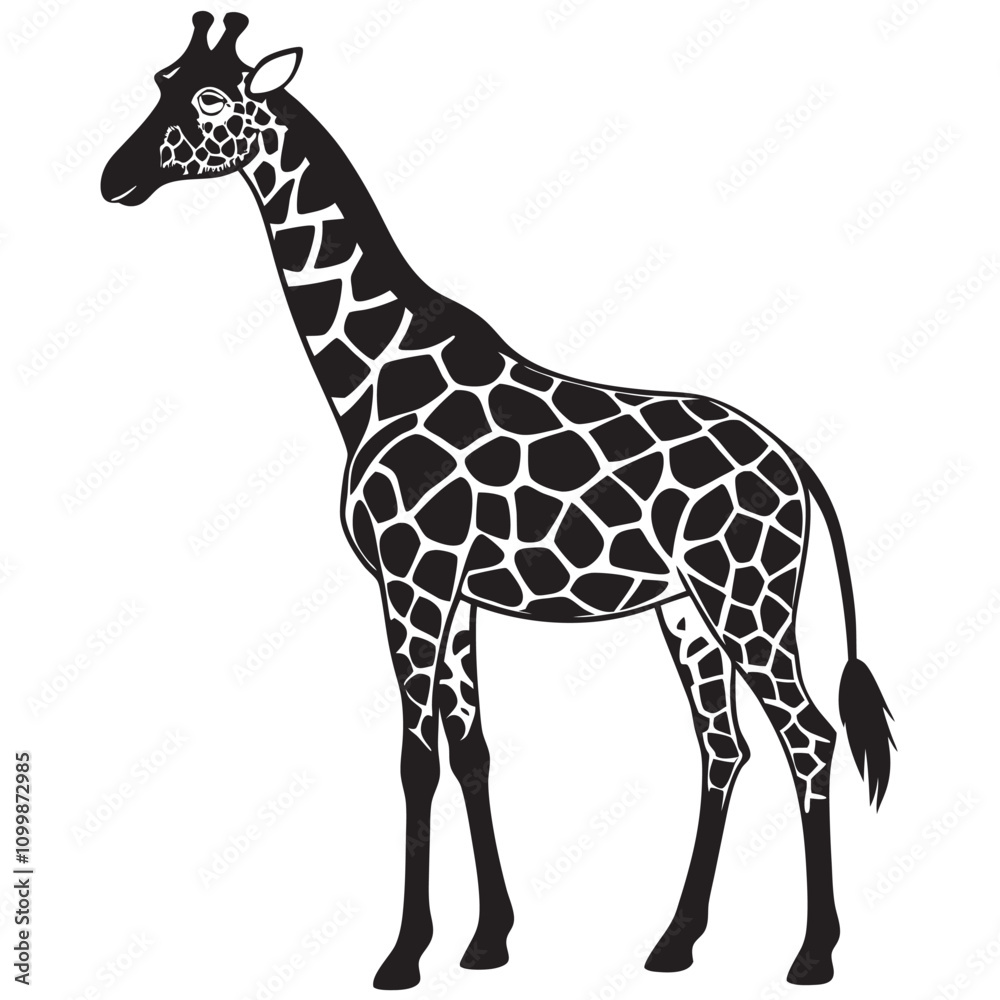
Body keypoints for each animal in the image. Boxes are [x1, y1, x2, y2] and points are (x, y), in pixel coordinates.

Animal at [101, 13, 895, 990]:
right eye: (161, 81)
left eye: (212, 99)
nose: (114, 177)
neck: (374, 375)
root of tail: (794, 464)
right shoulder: (452, 591)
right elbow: (470, 749)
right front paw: (487, 940)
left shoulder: (412, 578)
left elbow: (416, 757)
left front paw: (403, 954)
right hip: (686, 607)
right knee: (725, 745)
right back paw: (674, 943)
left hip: (747, 595)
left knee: (808, 737)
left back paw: (813, 955)